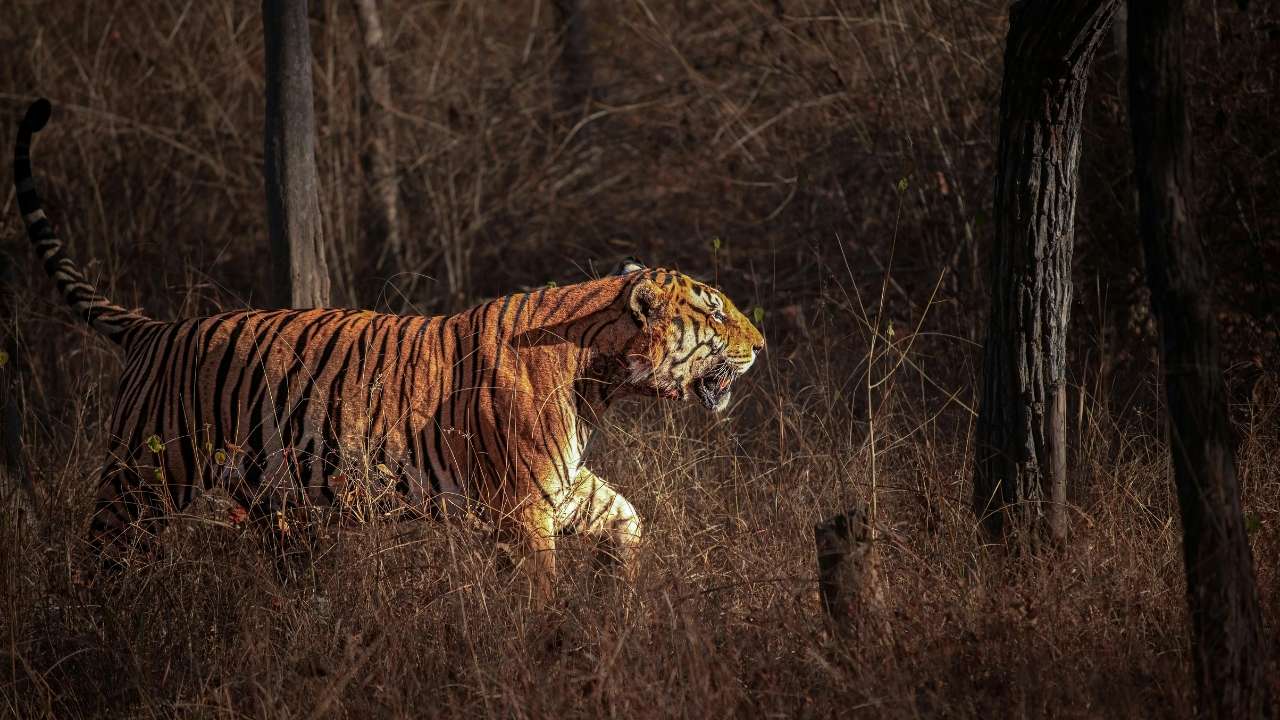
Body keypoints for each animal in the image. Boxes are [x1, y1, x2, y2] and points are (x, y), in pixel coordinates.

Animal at [14, 98, 765, 590]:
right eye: (715, 310)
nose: (762, 343)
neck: (601, 379)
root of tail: (155, 329)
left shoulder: (564, 486)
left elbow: (627, 518)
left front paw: (621, 595)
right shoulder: (522, 507)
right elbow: (538, 594)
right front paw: (552, 649)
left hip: (272, 503)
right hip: (140, 481)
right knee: (100, 563)